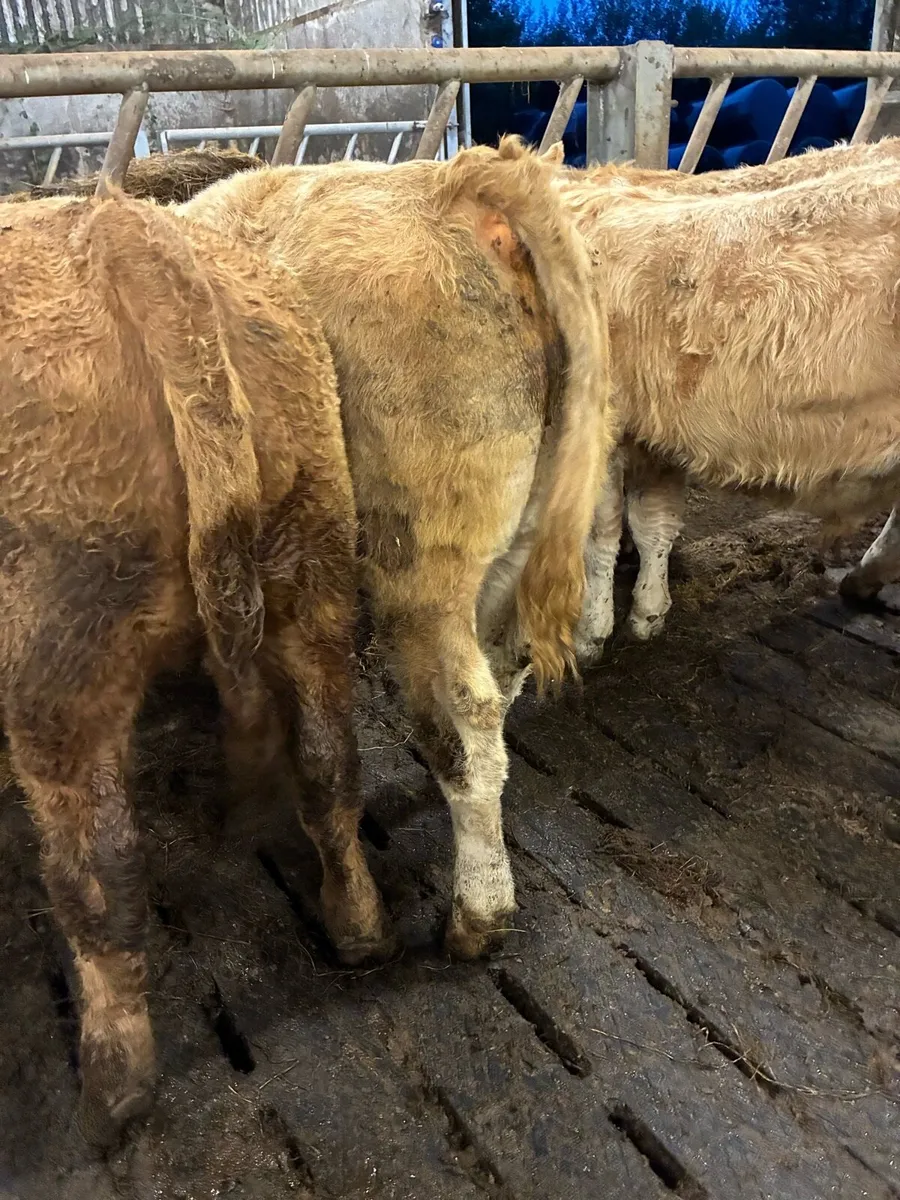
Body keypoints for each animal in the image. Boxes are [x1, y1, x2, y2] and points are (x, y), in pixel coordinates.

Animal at [0, 193, 392, 1145]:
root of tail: (119, 224)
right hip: (314, 571)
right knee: (331, 767)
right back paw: (360, 929)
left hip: (58, 667)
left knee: (100, 875)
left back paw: (115, 1088)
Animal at [180, 137, 611, 959]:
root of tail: (463, 182)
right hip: (517, 536)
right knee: (500, 681)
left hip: (423, 558)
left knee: (469, 714)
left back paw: (478, 913)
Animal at [537, 154, 900, 663]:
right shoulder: (654, 433)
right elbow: (653, 522)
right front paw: (648, 612)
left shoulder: (606, 424)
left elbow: (599, 531)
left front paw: (590, 632)